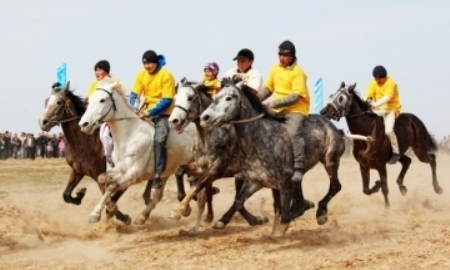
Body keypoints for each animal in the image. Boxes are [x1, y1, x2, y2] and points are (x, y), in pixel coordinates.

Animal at [37, 82, 153, 224]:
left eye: (59, 102)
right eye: (46, 101)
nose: (43, 122)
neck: (84, 142)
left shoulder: (100, 173)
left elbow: (109, 198)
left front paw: (121, 216)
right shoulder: (78, 170)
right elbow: (66, 195)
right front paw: (80, 194)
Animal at [78, 77, 197, 224]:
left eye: (102, 100)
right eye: (90, 100)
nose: (84, 124)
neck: (130, 135)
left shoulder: (134, 173)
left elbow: (112, 186)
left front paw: (98, 213)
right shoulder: (121, 168)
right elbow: (102, 180)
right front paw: (109, 209)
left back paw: (180, 211)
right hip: (167, 171)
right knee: (159, 195)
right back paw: (143, 216)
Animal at [168, 79, 268, 233]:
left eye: (190, 98)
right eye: (175, 98)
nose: (174, 121)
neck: (209, 138)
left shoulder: (216, 170)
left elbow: (198, 185)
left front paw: (178, 211)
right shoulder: (201, 167)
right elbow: (180, 171)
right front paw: (186, 209)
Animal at [198, 79, 344, 236]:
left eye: (229, 98)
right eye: (215, 96)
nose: (205, 117)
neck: (261, 139)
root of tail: (331, 125)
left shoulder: (285, 181)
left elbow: (286, 215)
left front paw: (300, 209)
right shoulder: (255, 181)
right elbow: (238, 201)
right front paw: (249, 221)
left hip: (330, 160)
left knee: (336, 186)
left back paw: (321, 214)